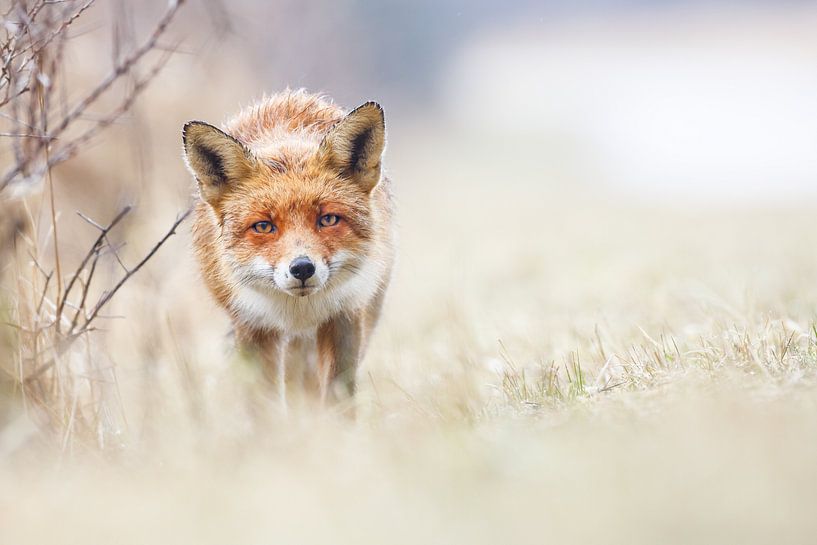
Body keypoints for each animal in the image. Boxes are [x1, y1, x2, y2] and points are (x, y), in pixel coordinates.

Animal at [182, 90, 395, 405]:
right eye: (263, 226)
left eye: (328, 219)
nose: (302, 268)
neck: (298, 311)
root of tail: (291, 96)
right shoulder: (252, 326)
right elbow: (263, 403)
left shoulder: (344, 316)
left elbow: (338, 397)